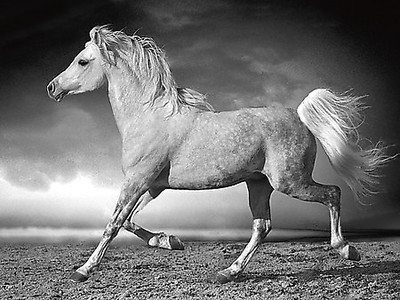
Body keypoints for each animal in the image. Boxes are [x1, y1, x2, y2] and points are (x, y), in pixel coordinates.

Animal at [47, 26, 388, 284]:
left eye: (82, 61)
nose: (52, 87)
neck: (148, 117)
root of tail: (300, 116)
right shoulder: (153, 186)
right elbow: (130, 221)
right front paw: (171, 241)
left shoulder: (137, 180)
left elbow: (114, 223)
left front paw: (83, 270)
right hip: (259, 184)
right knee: (262, 227)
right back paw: (228, 272)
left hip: (290, 182)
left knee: (333, 193)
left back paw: (346, 249)